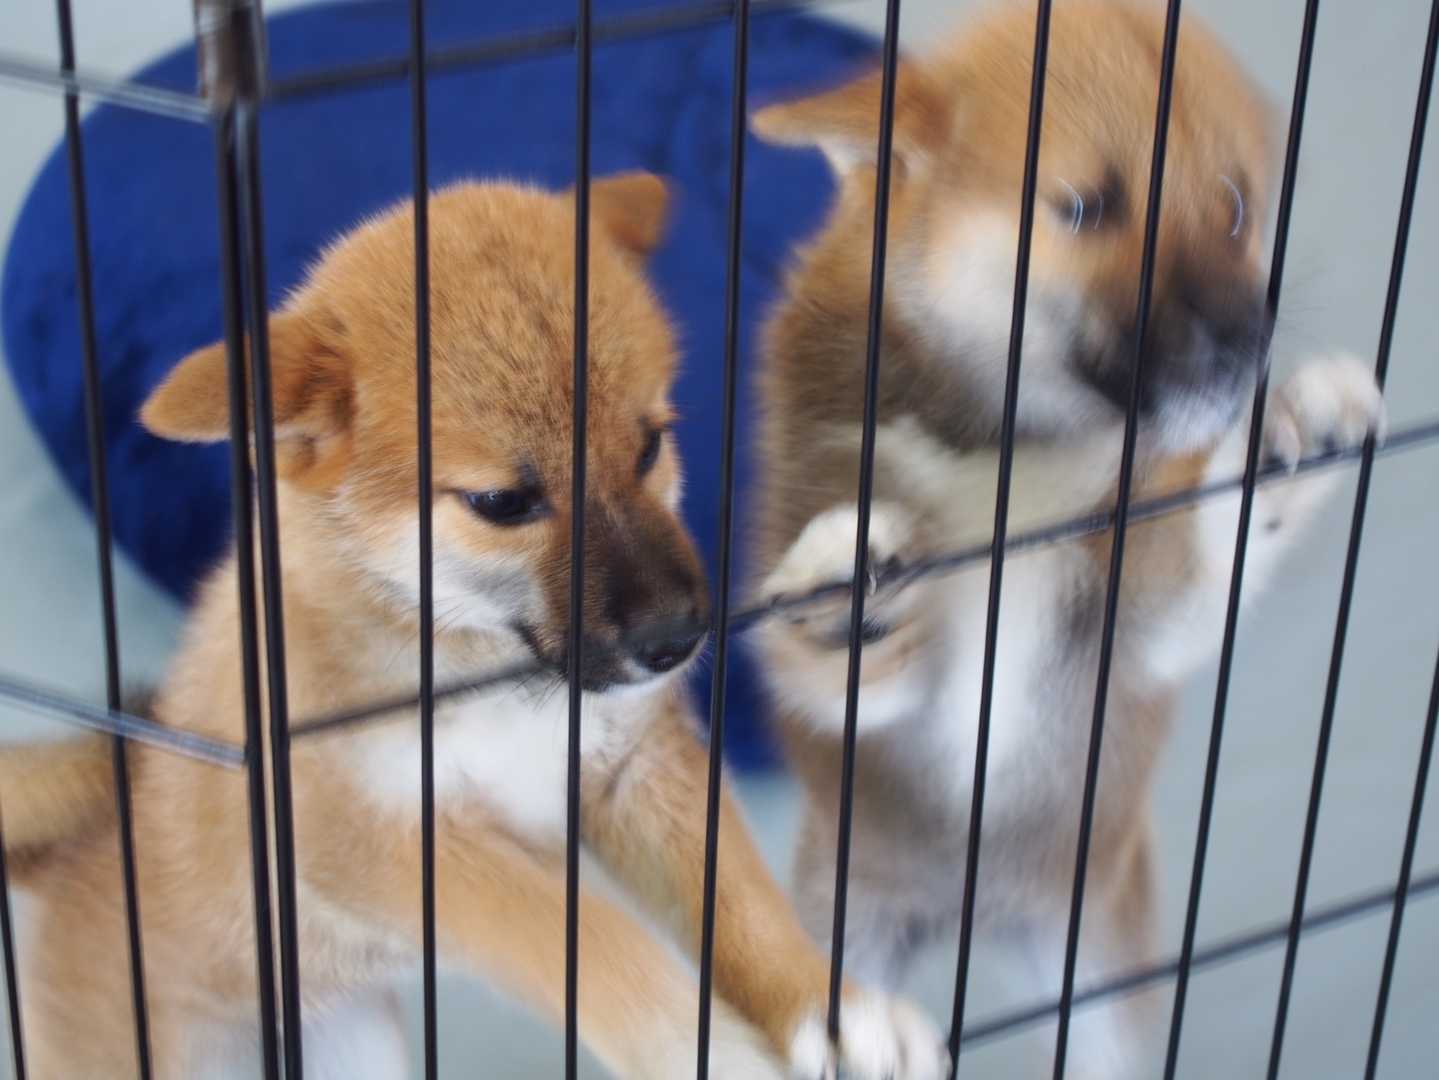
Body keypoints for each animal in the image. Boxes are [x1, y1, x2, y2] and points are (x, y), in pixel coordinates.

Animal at [0, 175, 947, 1078]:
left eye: (649, 446)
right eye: (502, 503)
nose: (677, 641)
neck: (487, 675)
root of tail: (71, 854)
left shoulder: (632, 767)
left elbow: (741, 902)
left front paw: (834, 1009)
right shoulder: (398, 850)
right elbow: (606, 955)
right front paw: (714, 1055)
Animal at [748, 3, 1385, 1076]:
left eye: (1232, 206)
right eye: (1086, 209)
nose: (1245, 337)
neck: (1010, 453)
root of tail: (970, 921)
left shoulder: (1132, 630)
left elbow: (1211, 544)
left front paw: (1290, 440)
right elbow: (837, 651)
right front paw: (844, 593)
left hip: (1096, 984)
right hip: (853, 927)